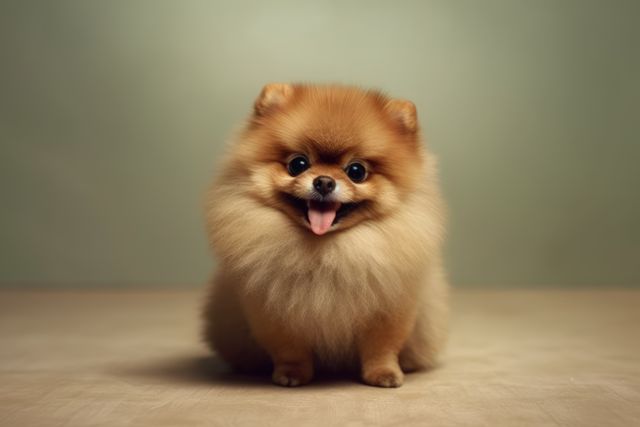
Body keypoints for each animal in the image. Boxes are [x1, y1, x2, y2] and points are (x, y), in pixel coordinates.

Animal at [202, 83, 448, 388]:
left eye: (356, 171)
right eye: (298, 164)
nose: (324, 182)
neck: (328, 252)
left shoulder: (389, 310)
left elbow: (382, 347)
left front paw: (384, 374)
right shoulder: (274, 311)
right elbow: (289, 349)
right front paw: (291, 374)